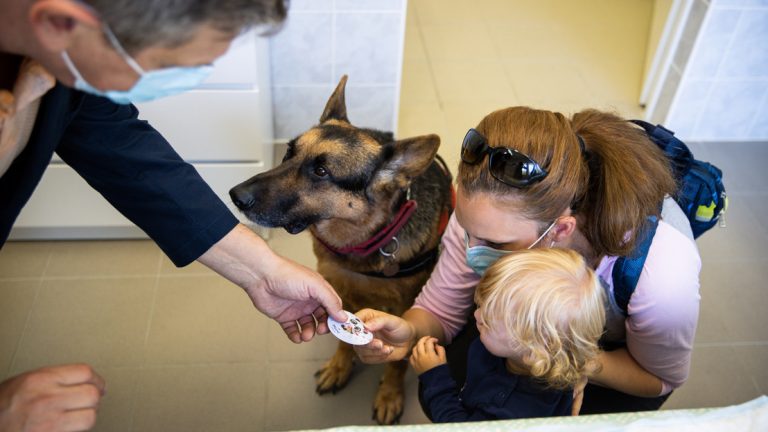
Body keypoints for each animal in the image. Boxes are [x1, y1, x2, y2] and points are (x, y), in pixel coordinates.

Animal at [230, 76, 456, 424]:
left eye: (321, 172)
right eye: (289, 152)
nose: (235, 196)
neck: (359, 243)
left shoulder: (407, 307)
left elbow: (398, 358)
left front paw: (389, 394)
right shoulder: (339, 290)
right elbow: (344, 343)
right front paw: (339, 367)